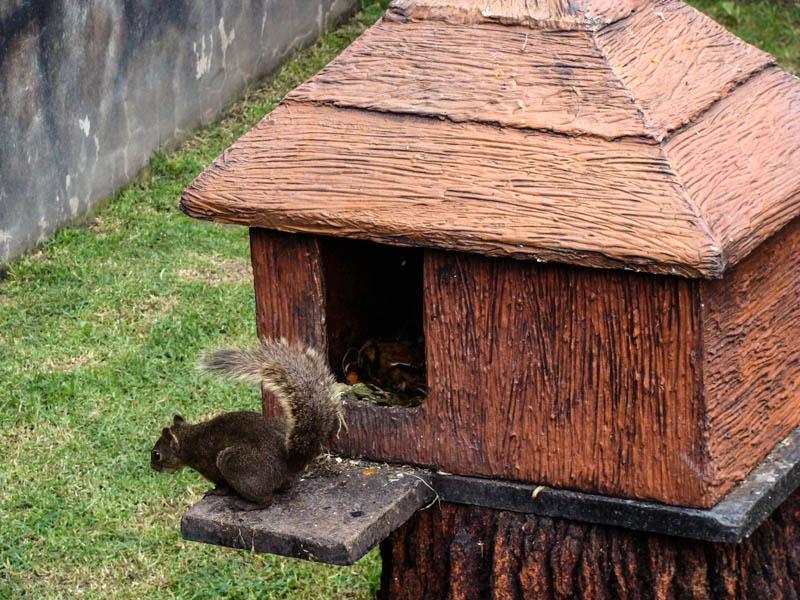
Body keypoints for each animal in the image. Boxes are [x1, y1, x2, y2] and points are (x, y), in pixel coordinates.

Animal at [150, 338, 344, 506]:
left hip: (235, 463)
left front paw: (214, 492)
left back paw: (245, 506)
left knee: (267, 500)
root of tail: (288, 465)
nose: (152, 467)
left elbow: (222, 486)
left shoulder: (209, 465)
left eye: (156, 454)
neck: (190, 440)